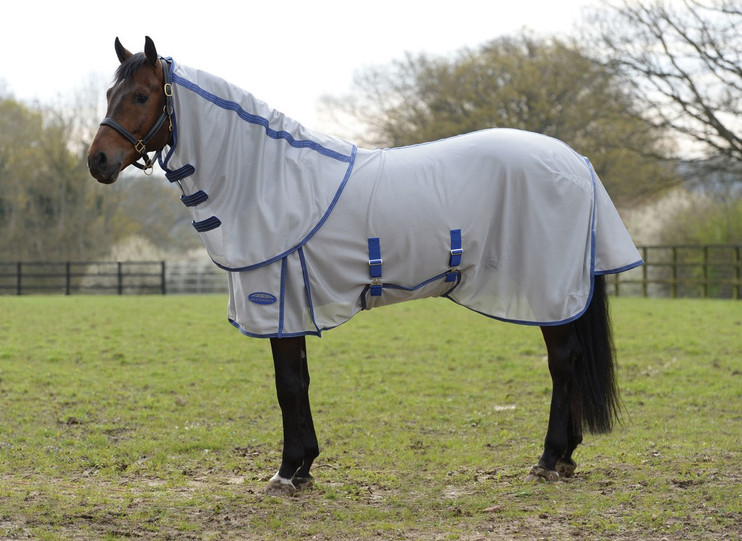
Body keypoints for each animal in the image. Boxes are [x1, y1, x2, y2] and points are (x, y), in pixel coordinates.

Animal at [88, 37, 643, 495]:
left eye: (141, 96)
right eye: (110, 93)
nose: (98, 161)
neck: (269, 179)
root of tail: (576, 162)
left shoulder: (278, 303)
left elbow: (287, 386)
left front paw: (286, 473)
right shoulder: (294, 306)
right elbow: (300, 382)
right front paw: (305, 467)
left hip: (550, 290)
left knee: (563, 364)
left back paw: (549, 460)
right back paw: (565, 458)